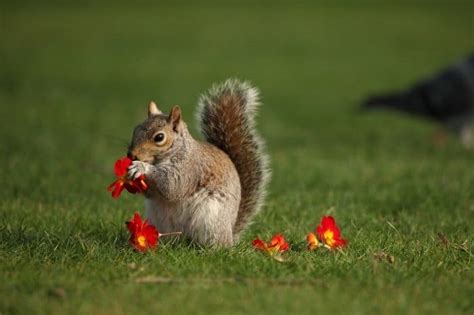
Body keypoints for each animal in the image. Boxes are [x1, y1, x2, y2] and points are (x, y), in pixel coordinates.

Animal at [126, 79, 270, 247]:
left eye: (159, 137)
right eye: (135, 130)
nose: (132, 155)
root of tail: (230, 234)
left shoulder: (190, 168)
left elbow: (173, 185)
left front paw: (141, 167)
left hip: (211, 218)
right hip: (159, 220)